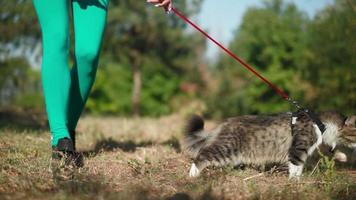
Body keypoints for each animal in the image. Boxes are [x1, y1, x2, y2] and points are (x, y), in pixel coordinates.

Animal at [184, 111, 356, 178]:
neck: (321, 124)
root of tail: (224, 123)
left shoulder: (311, 148)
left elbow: (328, 151)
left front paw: (341, 156)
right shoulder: (298, 149)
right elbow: (296, 168)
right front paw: (295, 184)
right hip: (226, 150)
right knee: (202, 155)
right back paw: (193, 175)